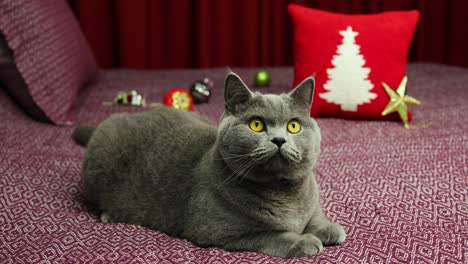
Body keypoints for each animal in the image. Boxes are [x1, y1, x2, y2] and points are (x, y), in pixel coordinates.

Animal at [73, 72, 344, 258]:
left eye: (293, 126)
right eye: (256, 124)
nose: (279, 140)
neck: (285, 193)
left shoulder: (309, 200)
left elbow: (315, 214)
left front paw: (329, 229)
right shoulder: (218, 231)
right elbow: (269, 235)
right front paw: (303, 241)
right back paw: (109, 214)